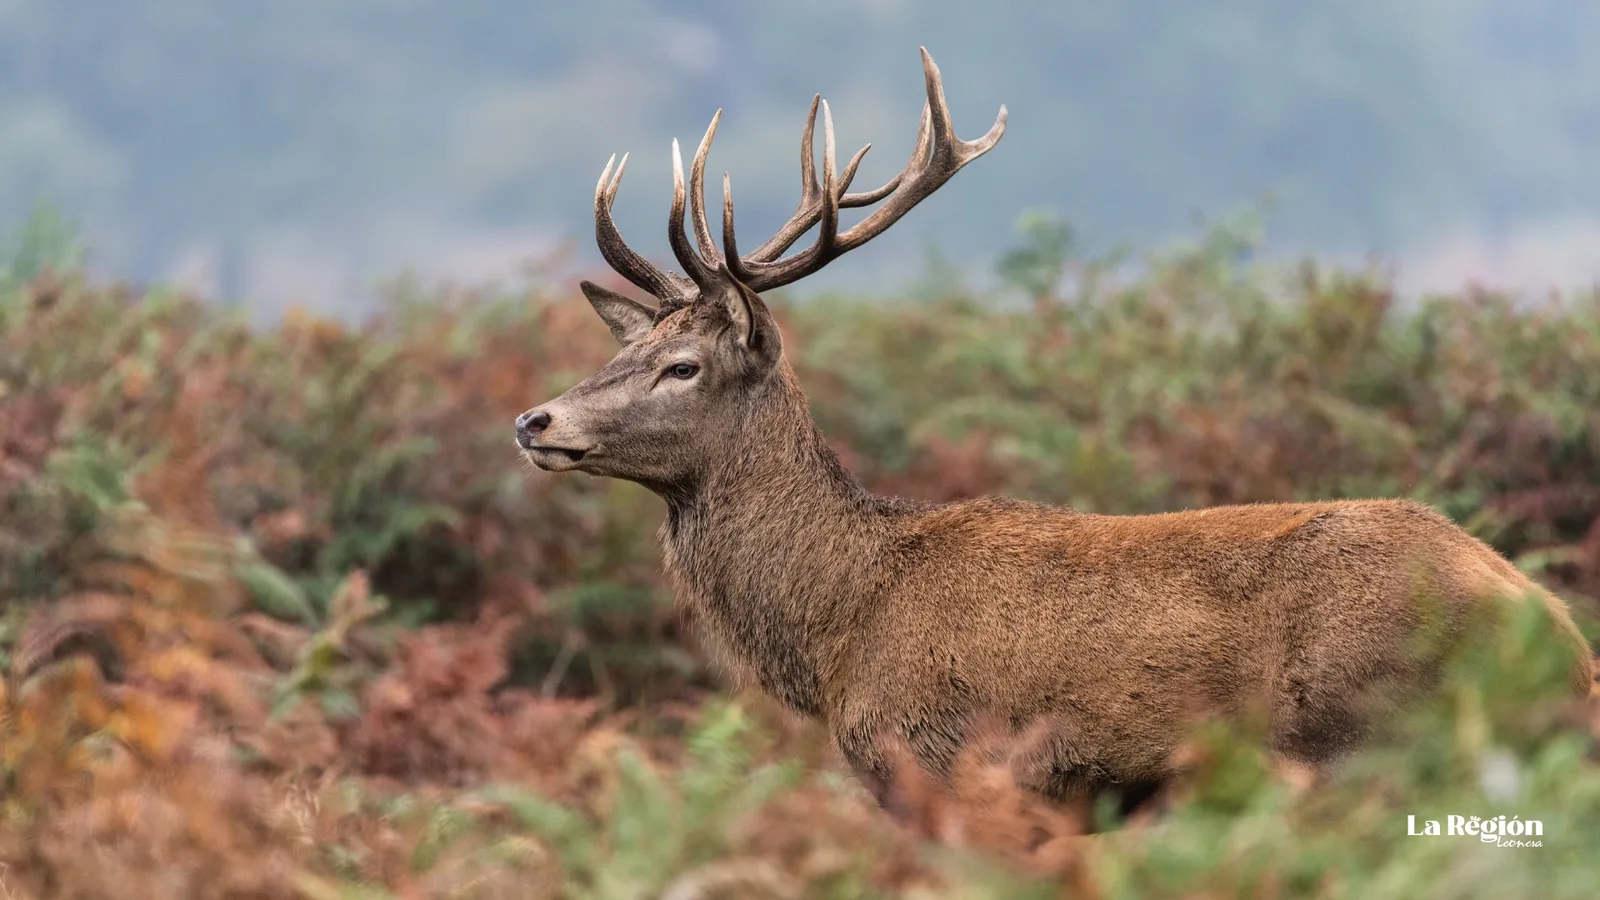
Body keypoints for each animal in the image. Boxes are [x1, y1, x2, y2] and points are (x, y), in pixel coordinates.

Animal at [515, 48, 1597, 816]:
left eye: (683, 367)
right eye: (633, 346)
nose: (534, 418)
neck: (840, 633)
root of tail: (1551, 630)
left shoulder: (950, 766)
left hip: (1374, 740)